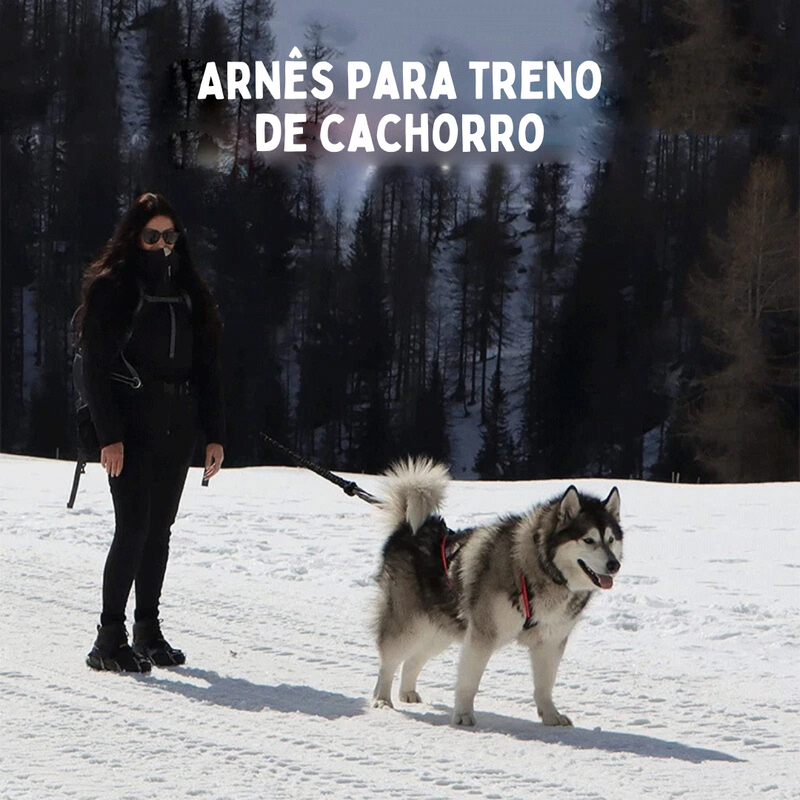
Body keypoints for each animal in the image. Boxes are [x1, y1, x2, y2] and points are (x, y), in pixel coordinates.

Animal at [372, 456, 620, 724]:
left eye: (611, 539)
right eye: (589, 540)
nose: (614, 565)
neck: (541, 568)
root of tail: (408, 528)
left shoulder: (551, 640)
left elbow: (544, 686)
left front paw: (551, 715)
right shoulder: (482, 635)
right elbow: (468, 682)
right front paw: (463, 715)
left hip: (440, 628)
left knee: (413, 659)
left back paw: (407, 692)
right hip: (408, 625)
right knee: (389, 662)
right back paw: (382, 699)